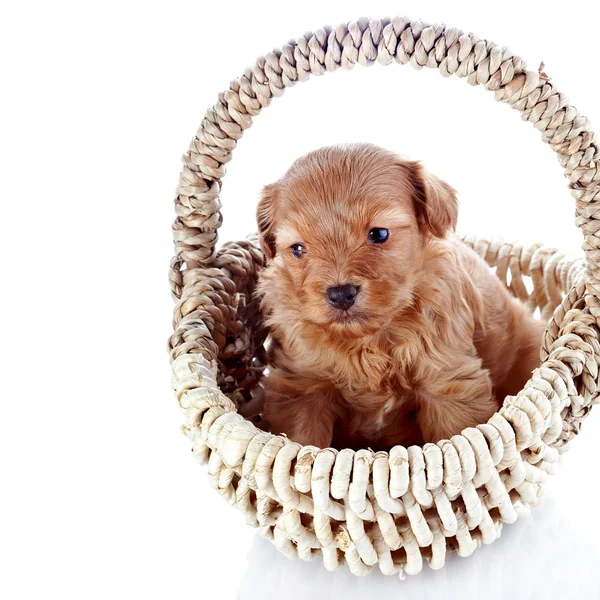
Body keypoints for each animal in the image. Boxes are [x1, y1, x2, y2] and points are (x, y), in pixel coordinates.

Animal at [255, 143, 548, 448]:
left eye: (379, 234)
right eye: (298, 249)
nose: (340, 293)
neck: (369, 340)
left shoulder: (449, 383)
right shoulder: (302, 387)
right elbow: (303, 442)